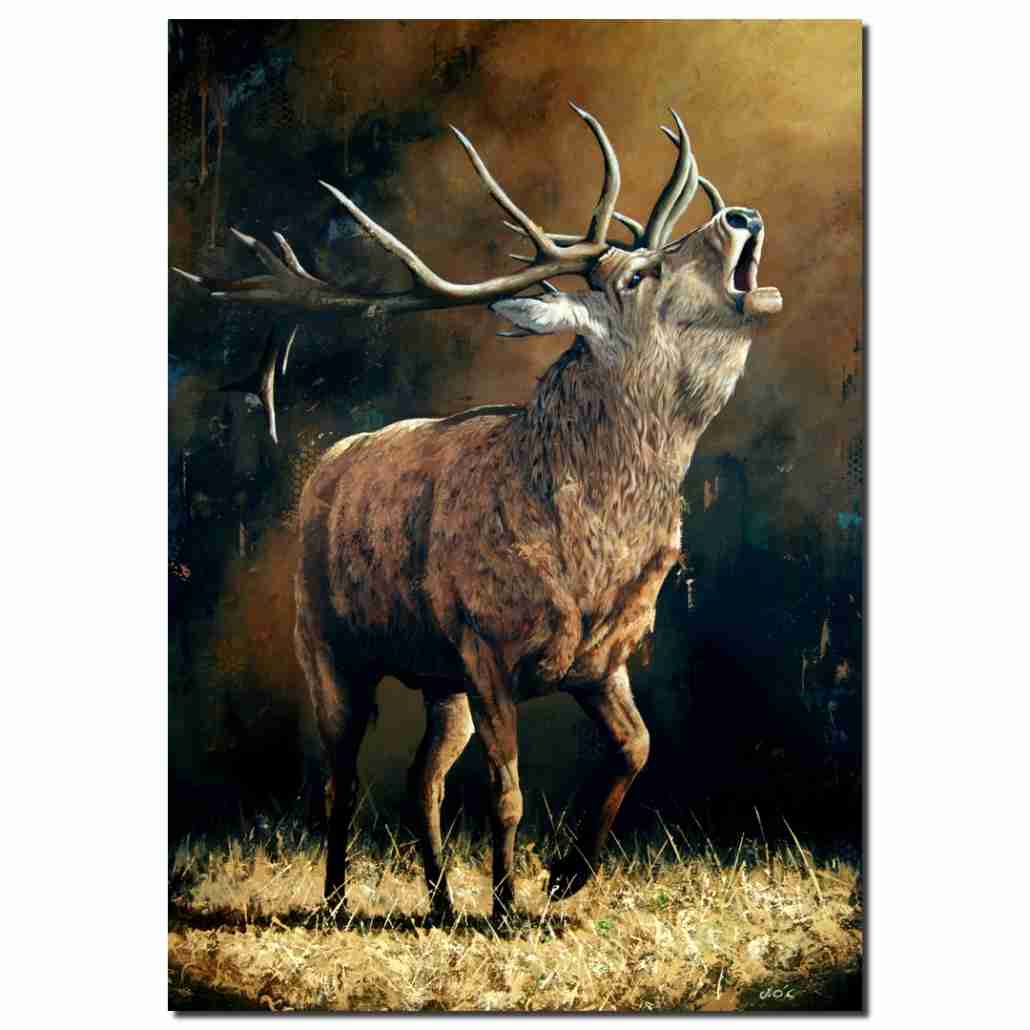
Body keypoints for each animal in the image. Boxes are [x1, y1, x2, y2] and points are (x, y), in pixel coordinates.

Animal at [173, 103, 782, 921]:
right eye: (636, 274)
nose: (741, 214)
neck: (593, 555)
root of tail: (329, 460)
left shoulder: (604, 659)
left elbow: (638, 747)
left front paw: (565, 875)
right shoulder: (485, 644)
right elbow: (507, 793)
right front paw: (506, 906)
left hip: (440, 680)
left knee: (420, 777)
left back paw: (438, 903)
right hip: (327, 644)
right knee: (340, 779)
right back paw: (338, 902)